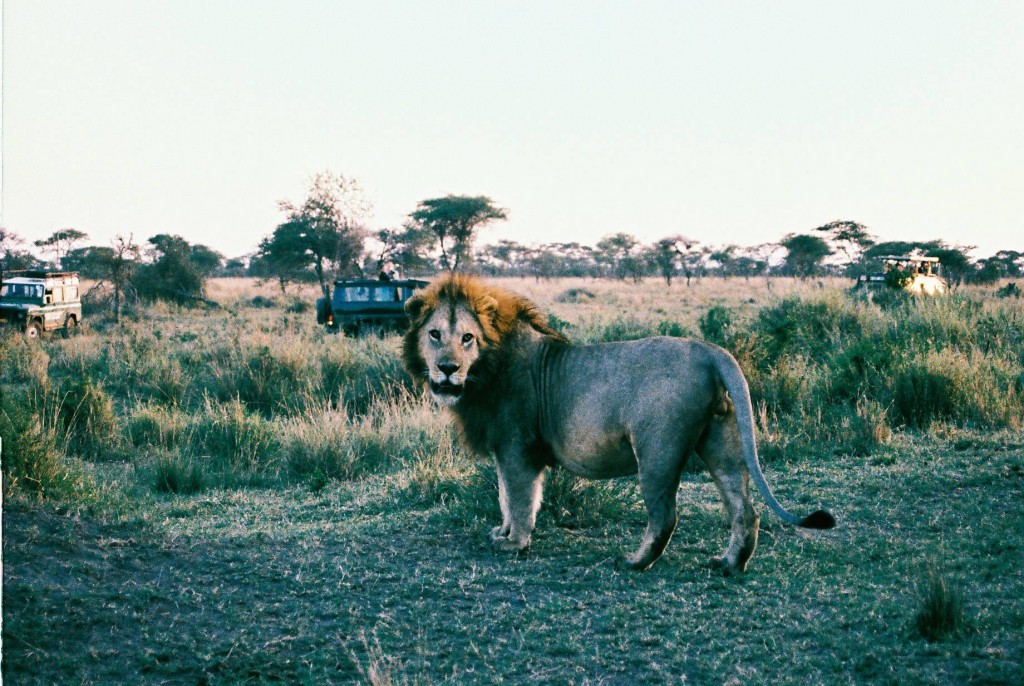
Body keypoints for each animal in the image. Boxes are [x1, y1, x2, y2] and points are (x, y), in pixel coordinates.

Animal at [399, 274, 831, 573]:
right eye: (434, 334)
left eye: (467, 338)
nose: (447, 368)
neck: (485, 370)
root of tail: (711, 350)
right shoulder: (506, 451)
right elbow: (506, 496)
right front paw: (502, 533)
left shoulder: (517, 447)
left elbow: (519, 499)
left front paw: (515, 543)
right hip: (721, 443)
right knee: (743, 507)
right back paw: (728, 565)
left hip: (657, 450)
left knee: (665, 515)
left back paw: (635, 562)